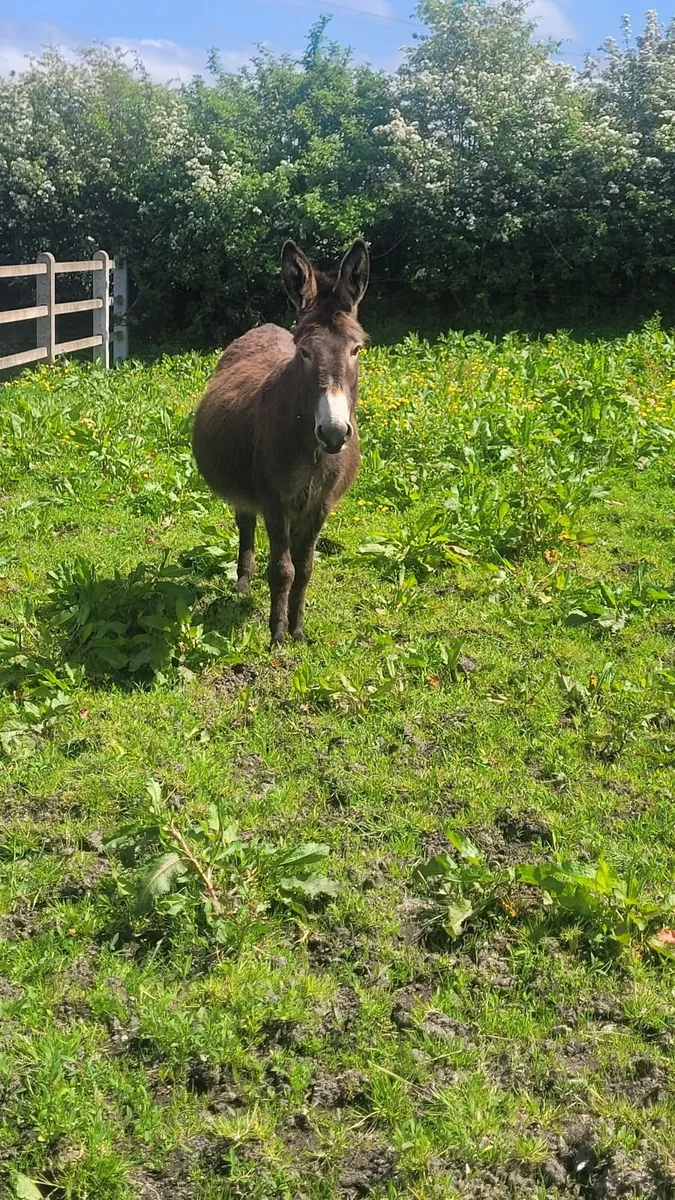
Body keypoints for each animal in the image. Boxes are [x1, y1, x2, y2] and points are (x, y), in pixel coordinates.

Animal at [192, 238, 370, 644]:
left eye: (356, 350)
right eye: (304, 352)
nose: (334, 432)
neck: (313, 454)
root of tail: (264, 327)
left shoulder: (321, 504)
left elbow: (304, 568)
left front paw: (298, 630)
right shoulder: (274, 501)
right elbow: (283, 569)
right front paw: (277, 634)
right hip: (246, 487)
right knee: (245, 522)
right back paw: (243, 581)